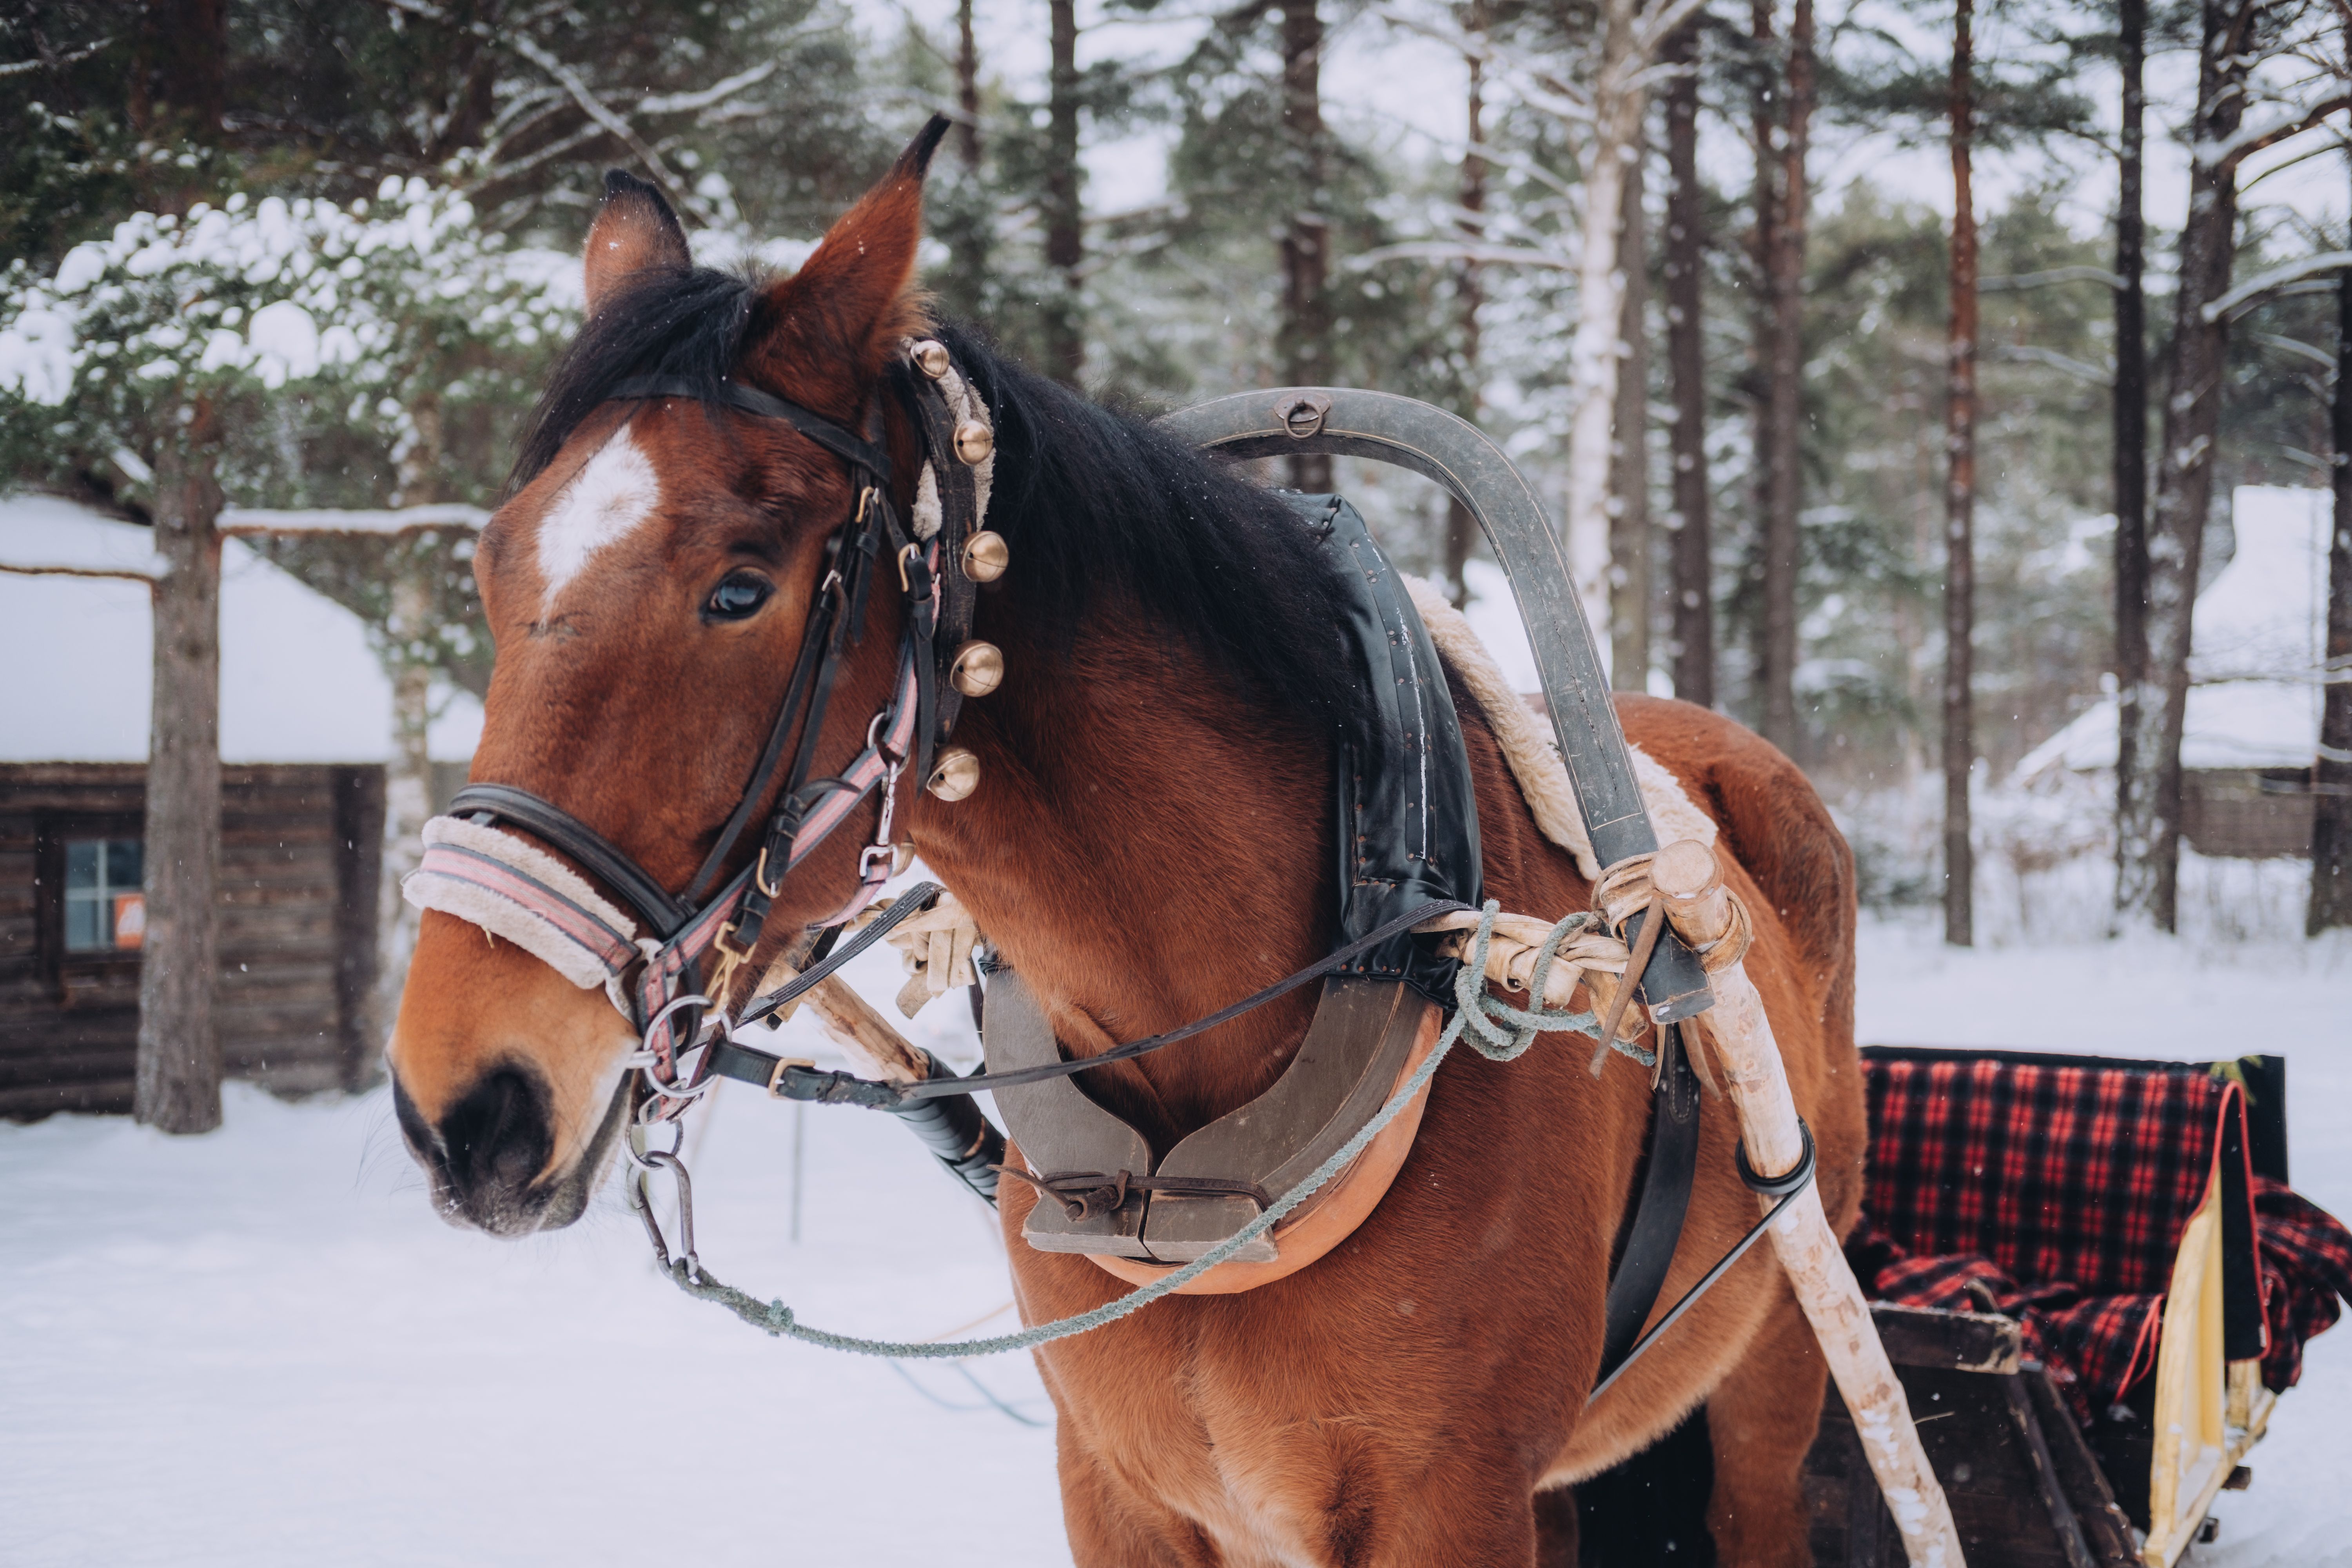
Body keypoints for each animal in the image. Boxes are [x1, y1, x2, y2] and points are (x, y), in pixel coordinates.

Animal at [386, 123, 1863, 1568]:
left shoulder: (1450, 1500)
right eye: (493, 567)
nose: (464, 1103)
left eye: (739, 589)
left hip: (1779, 1364)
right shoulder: (1115, 1485)